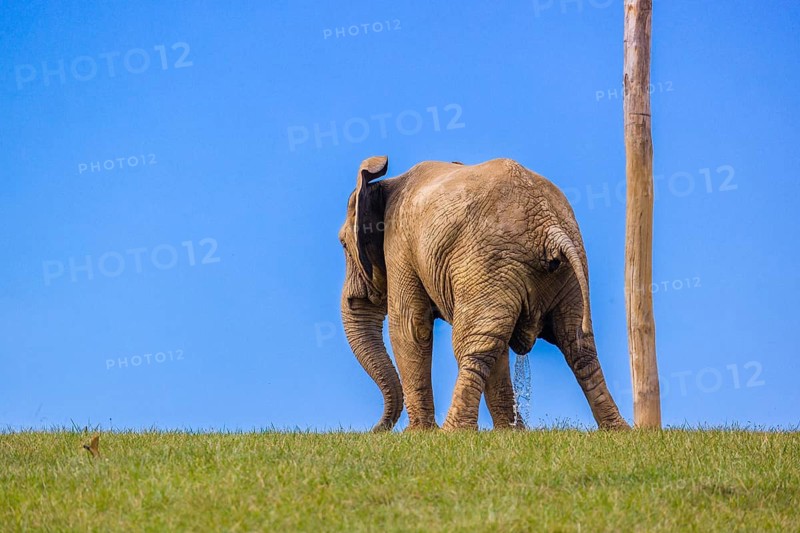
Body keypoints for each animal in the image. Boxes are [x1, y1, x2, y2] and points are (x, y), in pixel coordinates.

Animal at [339, 156, 629, 432]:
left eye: (342, 244)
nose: (376, 429)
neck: (384, 184)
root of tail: (548, 226)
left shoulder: (400, 246)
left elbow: (410, 327)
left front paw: (419, 434)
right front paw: (510, 433)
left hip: (490, 262)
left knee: (473, 344)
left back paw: (452, 432)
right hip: (559, 270)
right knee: (576, 346)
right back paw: (616, 430)